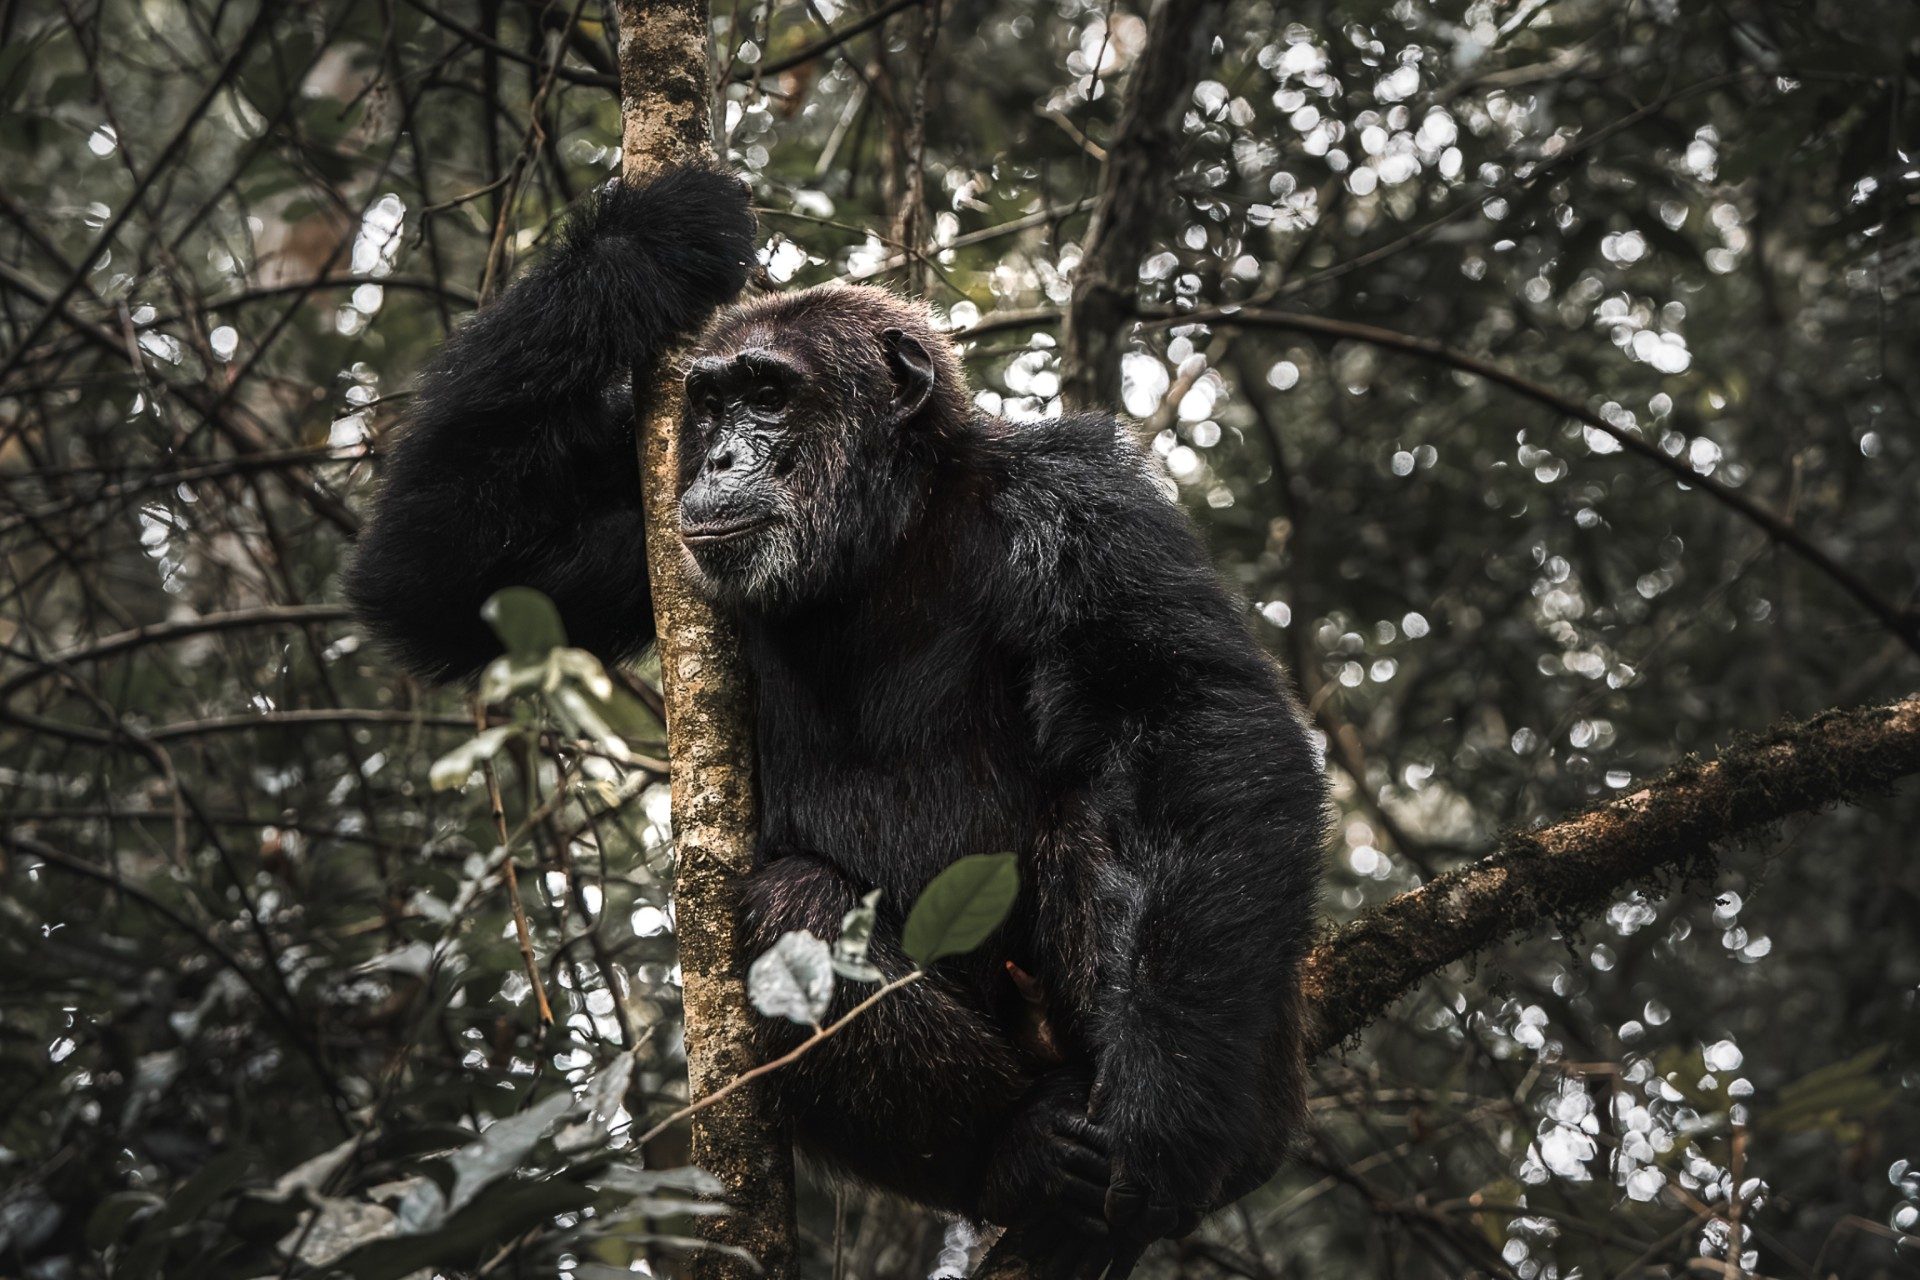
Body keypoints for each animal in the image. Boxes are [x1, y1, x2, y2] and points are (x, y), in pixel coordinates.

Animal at [346, 164, 1326, 1273]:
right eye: (713, 399)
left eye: (770, 392)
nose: (721, 455)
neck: (882, 534)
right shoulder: (642, 530)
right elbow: (440, 574)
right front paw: (651, 239)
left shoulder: (1085, 502)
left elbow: (1188, 714)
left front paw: (1171, 1113)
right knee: (793, 908)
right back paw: (1021, 1151)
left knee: (1101, 820)